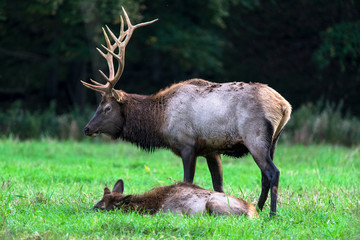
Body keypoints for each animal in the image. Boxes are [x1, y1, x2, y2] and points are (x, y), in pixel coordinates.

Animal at [80, 8, 292, 217]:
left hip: (255, 137)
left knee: (273, 172)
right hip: (273, 141)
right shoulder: (211, 150)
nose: (87, 128)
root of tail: (284, 106)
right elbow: (218, 186)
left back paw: (272, 213)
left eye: (107, 107)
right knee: (265, 176)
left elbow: (187, 180)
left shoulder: (187, 144)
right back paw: (258, 208)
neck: (160, 120)